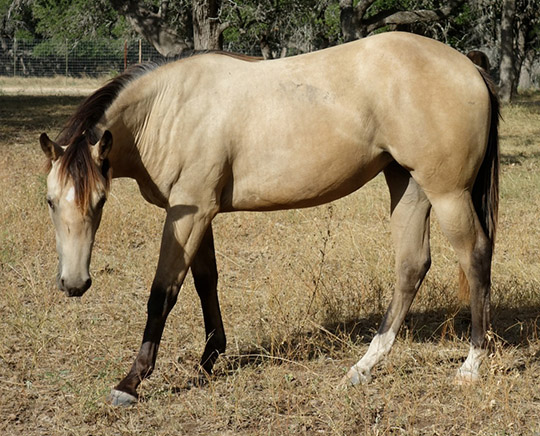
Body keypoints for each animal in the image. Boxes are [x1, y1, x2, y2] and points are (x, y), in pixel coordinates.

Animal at [40, 32, 500, 408]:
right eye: (49, 201)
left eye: (100, 200)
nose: (74, 283)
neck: (170, 109)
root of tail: (467, 63)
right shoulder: (197, 212)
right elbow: (205, 281)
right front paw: (209, 359)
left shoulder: (188, 214)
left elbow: (163, 293)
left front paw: (131, 382)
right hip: (408, 185)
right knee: (411, 266)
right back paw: (364, 367)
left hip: (447, 193)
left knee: (475, 257)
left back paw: (471, 365)